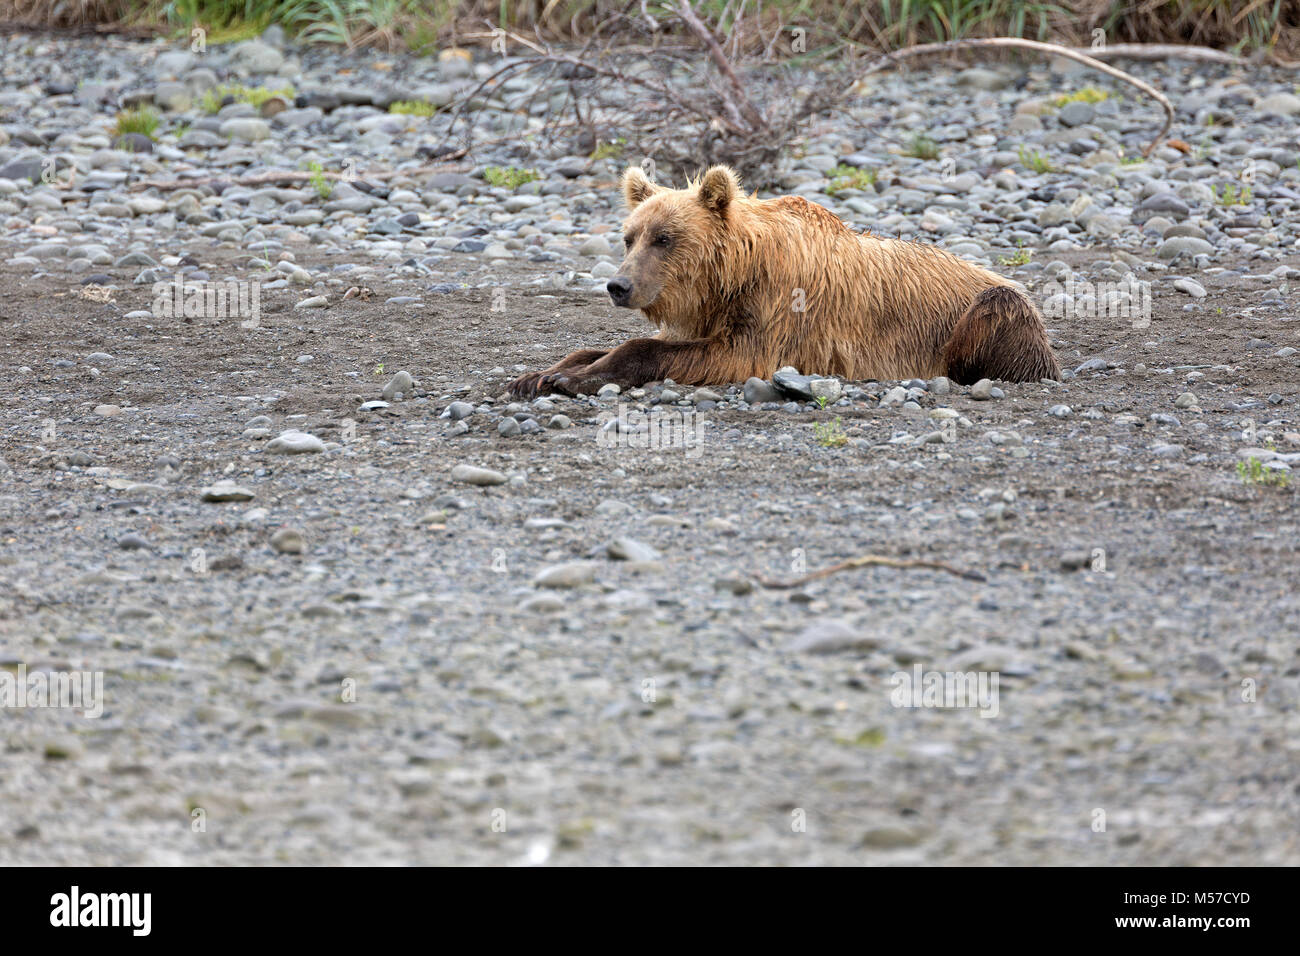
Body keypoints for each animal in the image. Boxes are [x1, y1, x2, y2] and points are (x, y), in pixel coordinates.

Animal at [504, 166, 1055, 398]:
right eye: (628, 237)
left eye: (665, 238)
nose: (618, 286)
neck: (734, 277)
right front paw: (538, 374)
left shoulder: (777, 316)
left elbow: (706, 353)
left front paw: (571, 379)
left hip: (989, 312)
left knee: (996, 312)